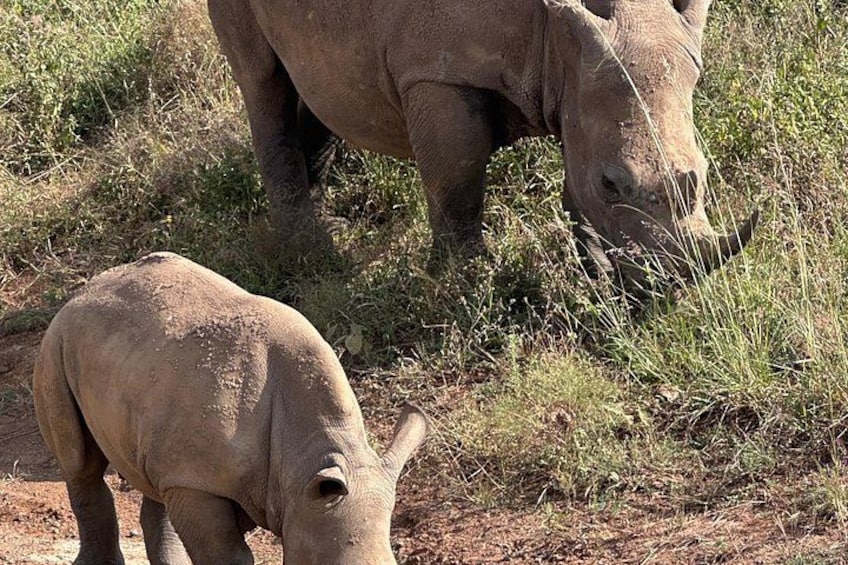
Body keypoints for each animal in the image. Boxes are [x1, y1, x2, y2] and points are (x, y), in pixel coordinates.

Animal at [33, 252, 427, 565]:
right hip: (56, 344)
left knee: (153, 477)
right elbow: (228, 556)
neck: (302, 455)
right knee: (80, 463)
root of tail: (86, 288)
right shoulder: (199, 481)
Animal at [208, 0, 757, 284]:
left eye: (705, 173)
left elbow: (571, 180)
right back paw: (310, 250)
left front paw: (597, 279)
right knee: (263, 82)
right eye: (611, 183)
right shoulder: (436, 71)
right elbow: (459, 183)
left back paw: (327, 222)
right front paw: (468, 281)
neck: (554, 35)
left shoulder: (579, 80)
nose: (671, 285)